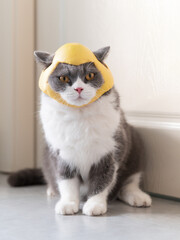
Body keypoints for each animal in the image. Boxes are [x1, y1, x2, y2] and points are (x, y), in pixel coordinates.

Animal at [8, 45, 152, 216]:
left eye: (90, 75)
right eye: (63, 78)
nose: (78, 88)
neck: (79, 115)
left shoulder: (108, 151)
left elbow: (103, 179)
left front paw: (95, 205)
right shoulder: (61, 153)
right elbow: (66, 180)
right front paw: (68, 203)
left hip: (136, 146)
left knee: (129, 183)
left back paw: (139, 197)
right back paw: (51, 190)